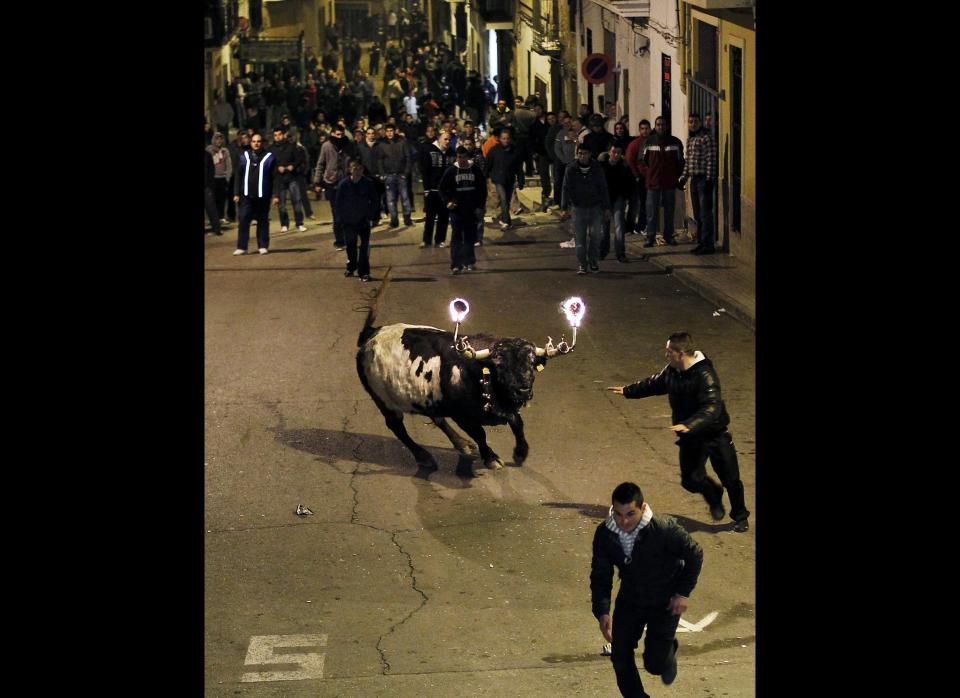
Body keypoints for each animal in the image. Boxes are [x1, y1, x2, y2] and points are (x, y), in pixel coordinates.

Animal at [358, 288, 568, 474]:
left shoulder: (506, 408)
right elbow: (480, 434)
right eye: (500, 365)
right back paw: (424, 457)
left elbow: (518, 423)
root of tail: (371, 334)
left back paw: (461, 444)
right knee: (397, 428)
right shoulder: (463, 416)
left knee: (437, 417)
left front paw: (520, 453)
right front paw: (491, 458)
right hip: (383, 401)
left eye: (531, 363)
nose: (523, 390)